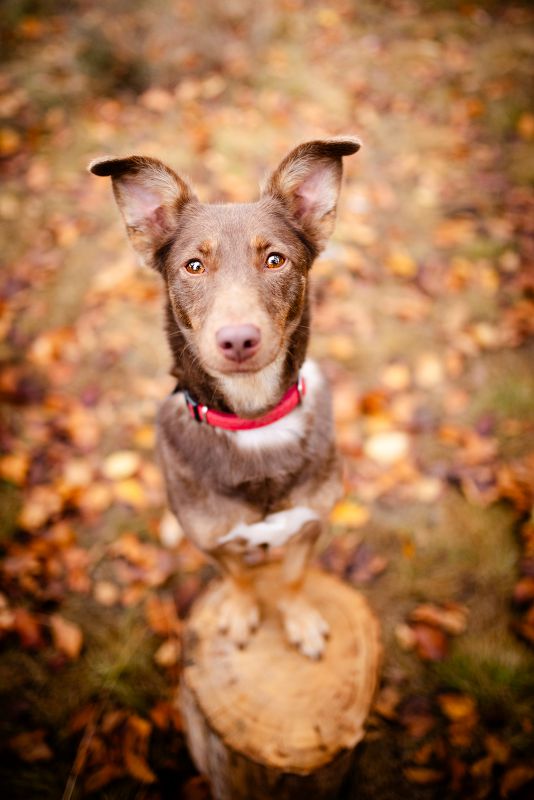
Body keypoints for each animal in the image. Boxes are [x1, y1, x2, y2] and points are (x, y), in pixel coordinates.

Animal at [89, 137, 360, 658]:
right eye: (194, 266)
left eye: (275, 259)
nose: (238, 340)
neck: (254, 419)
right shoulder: (212, 541)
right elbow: (237, 578)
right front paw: (240, 611)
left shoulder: (310, 524)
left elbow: (294, 578)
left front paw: (298, 619)